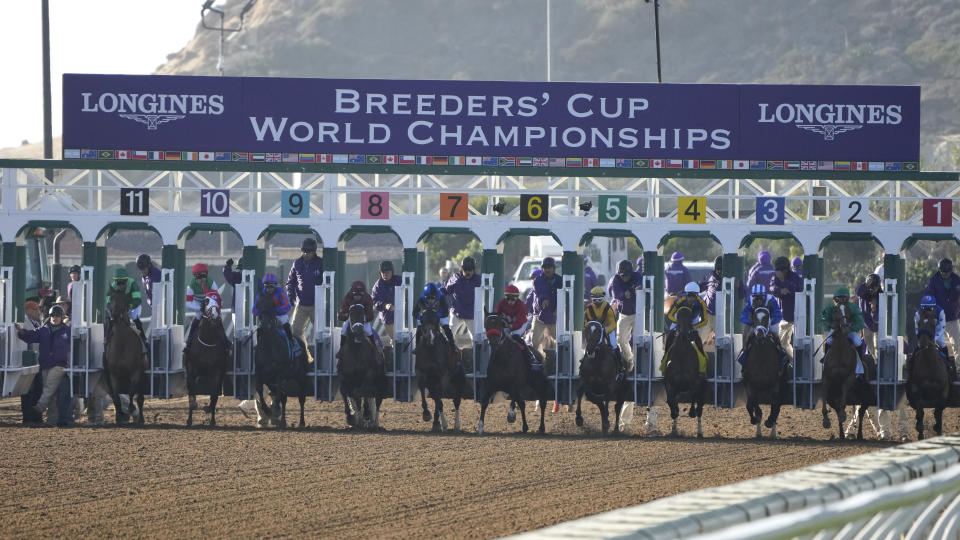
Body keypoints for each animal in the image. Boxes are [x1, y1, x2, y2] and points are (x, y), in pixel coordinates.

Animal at [104, 286, 146, 426]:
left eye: (122, 300)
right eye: (110, 300)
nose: (112, 318)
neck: (121, 344)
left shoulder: (135, 371)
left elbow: (132, 392)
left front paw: (131, 409)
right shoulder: (113, 374)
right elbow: (116, 397)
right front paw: (119, 417)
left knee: (140, 398)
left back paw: (141, 418)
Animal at [184, 296, 229, 426]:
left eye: (218, 302)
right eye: (206, 301)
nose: (215, 314)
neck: (208, 341)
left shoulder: (218, 373)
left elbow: (214, 397)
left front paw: (211, 417)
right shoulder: (191, 370)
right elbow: (191, 391)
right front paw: (192, 411)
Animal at [664, 306, 708, 436]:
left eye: (689, 321)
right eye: (678, 321)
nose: (683, 334)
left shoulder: (694, 382)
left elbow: (693, 395)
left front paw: (691, 412)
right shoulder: (670, 384)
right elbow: (670, 401)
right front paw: (674, 413)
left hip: (703, 390)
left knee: (699, 410)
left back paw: (699, 432)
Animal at [744, 308, 788, 438]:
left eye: (766, 317)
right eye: (754, 318)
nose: (759, 333)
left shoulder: (775, 385)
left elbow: (775, 406)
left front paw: (769, 422)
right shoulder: (751, 385)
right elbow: (752, 406)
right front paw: (755, 420)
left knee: (776, 407)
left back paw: (772, 432)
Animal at [908, 308, 952, 438]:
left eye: (933, 324)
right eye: (918, 323)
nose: (923, 342)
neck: (929, 364)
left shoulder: (943, 392)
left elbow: (938, 412)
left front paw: (938, 428)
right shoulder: (916, 391)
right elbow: (920, 412)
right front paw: (920, 434)